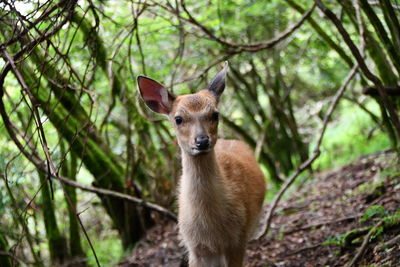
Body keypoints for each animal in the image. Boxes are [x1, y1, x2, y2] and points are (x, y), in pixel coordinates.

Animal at [137, 61, 266, 266]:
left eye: (215, 114)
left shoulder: (237, 238)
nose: (202, 141)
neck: (210, 227)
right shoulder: (195, 247)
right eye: (178, 119)